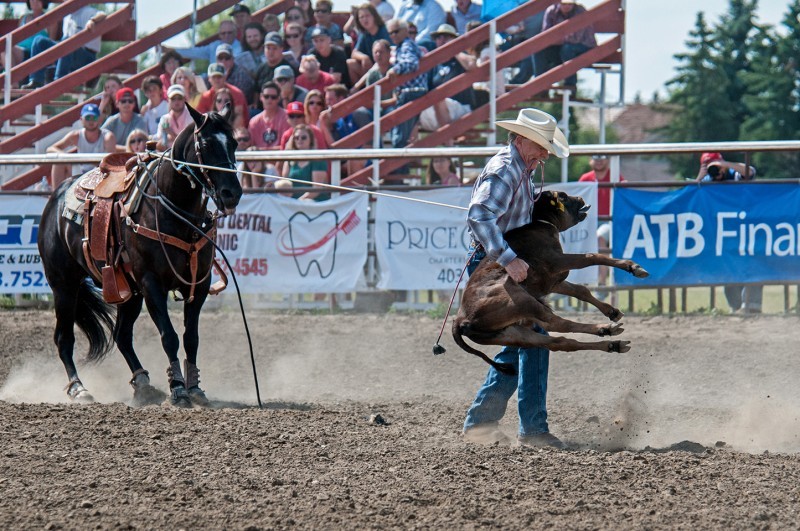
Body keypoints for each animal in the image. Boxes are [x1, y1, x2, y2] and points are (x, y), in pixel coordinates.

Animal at [37, 106, 242, 410]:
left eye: (234, 143)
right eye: (205, 145)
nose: (232, 193)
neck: (171, 208)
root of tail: (56, 197)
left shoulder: (199, 285)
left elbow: (191, 338)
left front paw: (195, 387)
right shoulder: (151, 283)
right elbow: (169, 337)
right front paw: (178, 389)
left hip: (126, 292)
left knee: (122, 335)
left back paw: (143, 383)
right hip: (64, 285)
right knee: (64, 338)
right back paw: (79, 388)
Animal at [454, 189, 648, 376]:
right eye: (562, 196)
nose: (580, 199)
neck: (541, 224)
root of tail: (460, 320)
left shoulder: (552, 280)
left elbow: (580, 290)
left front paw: (612, 311)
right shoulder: (557, 261)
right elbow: (592, 257)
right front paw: (633, 267)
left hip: (513, 333)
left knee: (559, 341)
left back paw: (612, 342)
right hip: (522, 301)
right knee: (558, 323)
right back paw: (606, 328)